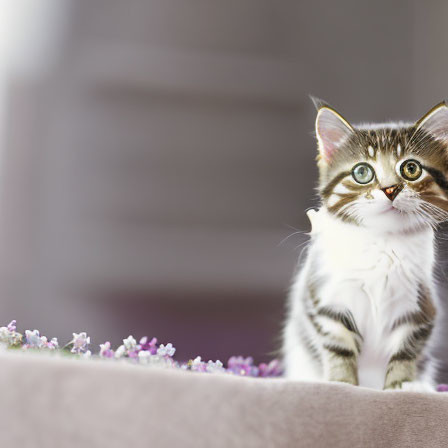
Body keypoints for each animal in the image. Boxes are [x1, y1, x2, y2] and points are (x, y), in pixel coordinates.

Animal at [284, 100, 448, 390]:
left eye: (411, 169)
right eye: (362, 172)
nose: (390, 189)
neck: (383, 240)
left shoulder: (419, 306)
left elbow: (405, 351)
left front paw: (401, 386)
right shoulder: (327, 299)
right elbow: (339, 347)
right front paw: (342, 384)